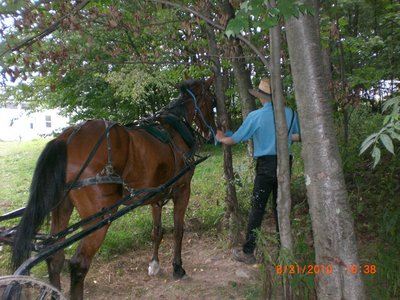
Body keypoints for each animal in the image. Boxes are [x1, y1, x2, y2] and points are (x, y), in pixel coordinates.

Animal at [10, 78, 216, 300]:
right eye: (212, 101)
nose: (211, 131)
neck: (174, 129)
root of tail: (66, 138)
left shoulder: (156, 194)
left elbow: (157, 231)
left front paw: (154, 264)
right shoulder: (183, 189)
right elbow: (179, 230)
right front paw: (178, 268)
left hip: (62, 207)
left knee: (55, 257)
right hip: (100, 216)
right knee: (78, 264)